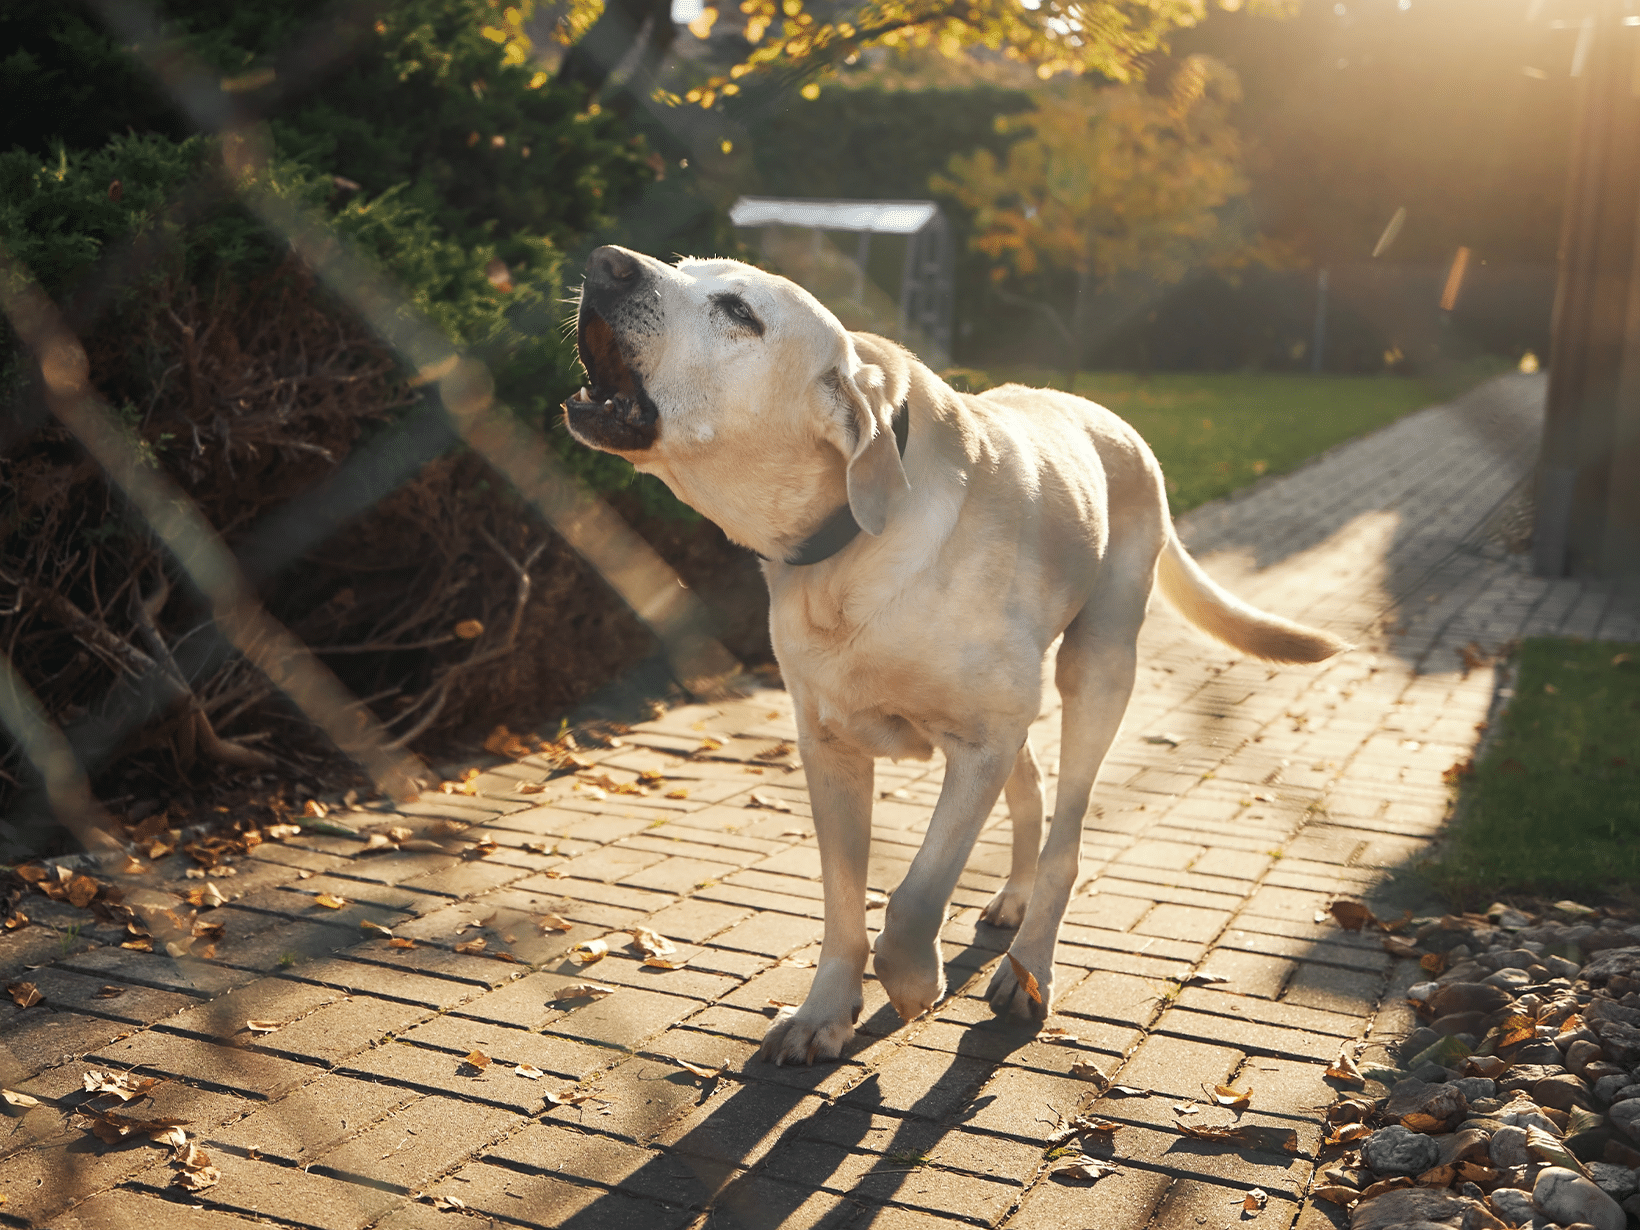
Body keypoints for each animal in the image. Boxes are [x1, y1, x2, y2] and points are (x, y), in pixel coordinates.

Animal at [564, 242, 1344, 1069]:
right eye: (684, 268)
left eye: (740, 311)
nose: (607, 261)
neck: (853, 546)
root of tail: (1115, 421)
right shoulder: (832, 750)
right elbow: (843, 900)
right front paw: (824, 1012)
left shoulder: (978, 744)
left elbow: (912, 897)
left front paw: (912, 984)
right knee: (1032, 792)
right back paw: (1014, 900)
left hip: (1097, 668)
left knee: (1066, 833)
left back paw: (1030, 965)